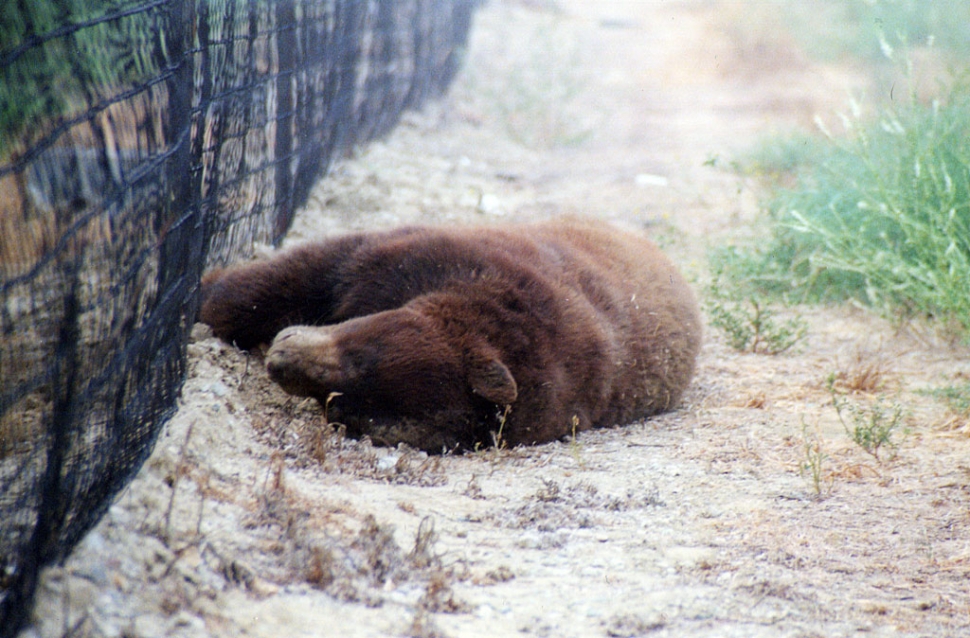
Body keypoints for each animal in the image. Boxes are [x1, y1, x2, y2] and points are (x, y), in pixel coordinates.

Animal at [200, 222, 700, 452]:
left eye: (343, 403)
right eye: (360, 354)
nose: (281, 357)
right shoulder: (424, 260)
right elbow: (308, 271)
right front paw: (207, 299)